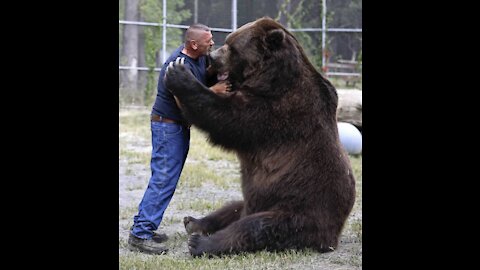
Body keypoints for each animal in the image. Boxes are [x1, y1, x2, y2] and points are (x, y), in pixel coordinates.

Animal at [165, 17, 356, 258]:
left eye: (232, 47)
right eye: (227, 41)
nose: (212, 57)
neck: (271, 79)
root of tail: (336, 233)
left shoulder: (278, 110)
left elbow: (228, 118)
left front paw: (179, 74)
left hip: (300, 208)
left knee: (258, 227)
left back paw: (200, 243)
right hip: (255, 203)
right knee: (233, 207)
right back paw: (194, 222)